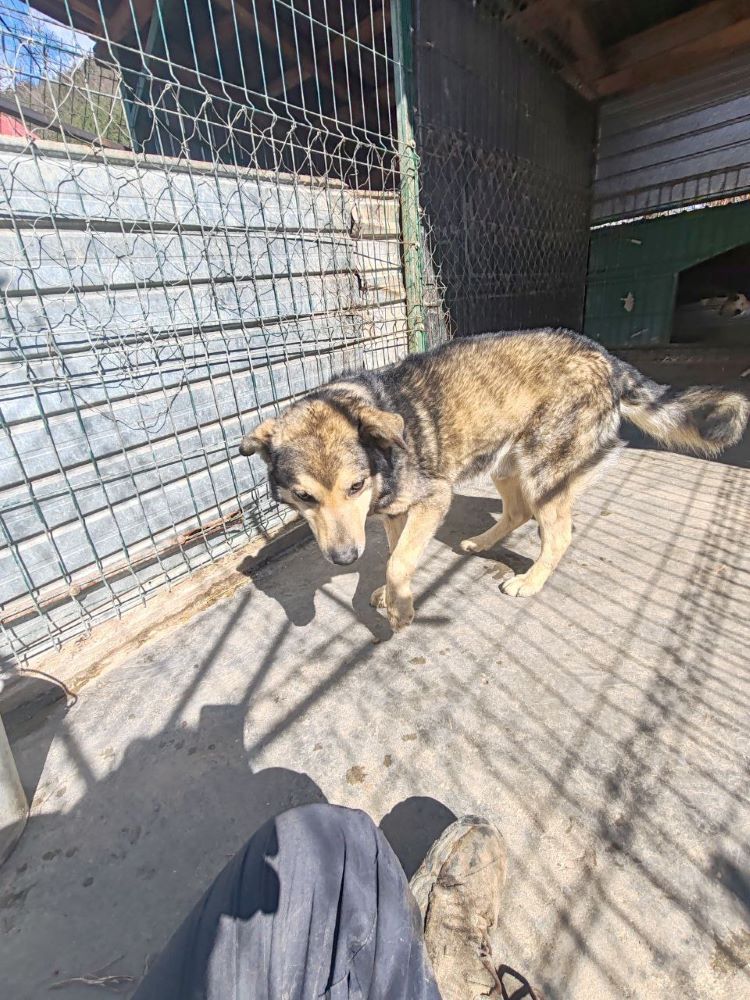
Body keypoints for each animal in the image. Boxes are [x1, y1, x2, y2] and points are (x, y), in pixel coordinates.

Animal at [238, 330, 748, 624]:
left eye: (355, 486)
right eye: (304, 497)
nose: (344, 558)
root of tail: (608, 357)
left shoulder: (433, 498)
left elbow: (398, 561)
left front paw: (402, 608)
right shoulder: (397, 513)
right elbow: (396, 555)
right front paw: (390, 594)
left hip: (545, 474)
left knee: (559, 533)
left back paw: (531, 582)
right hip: (505, 464)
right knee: (518, 512)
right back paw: (481, 544)